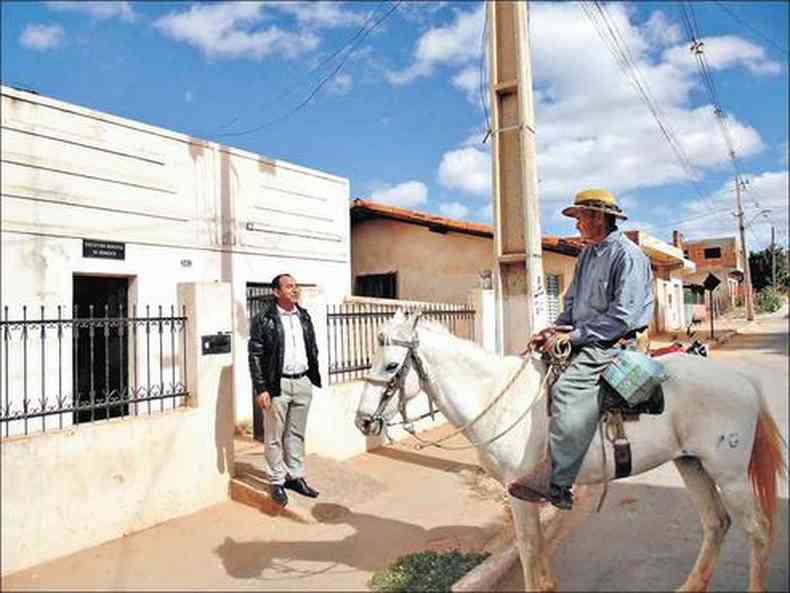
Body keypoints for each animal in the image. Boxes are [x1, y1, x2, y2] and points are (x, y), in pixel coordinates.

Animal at [356, 312, 788, 588]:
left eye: (391, 365)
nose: (362, 422)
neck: (499, 398)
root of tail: (742, 379)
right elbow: (538, 548)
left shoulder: (519, 492)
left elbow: (529, 549)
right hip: (691, 464)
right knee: (717, 524)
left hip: (729, 473)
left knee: (757, 531)